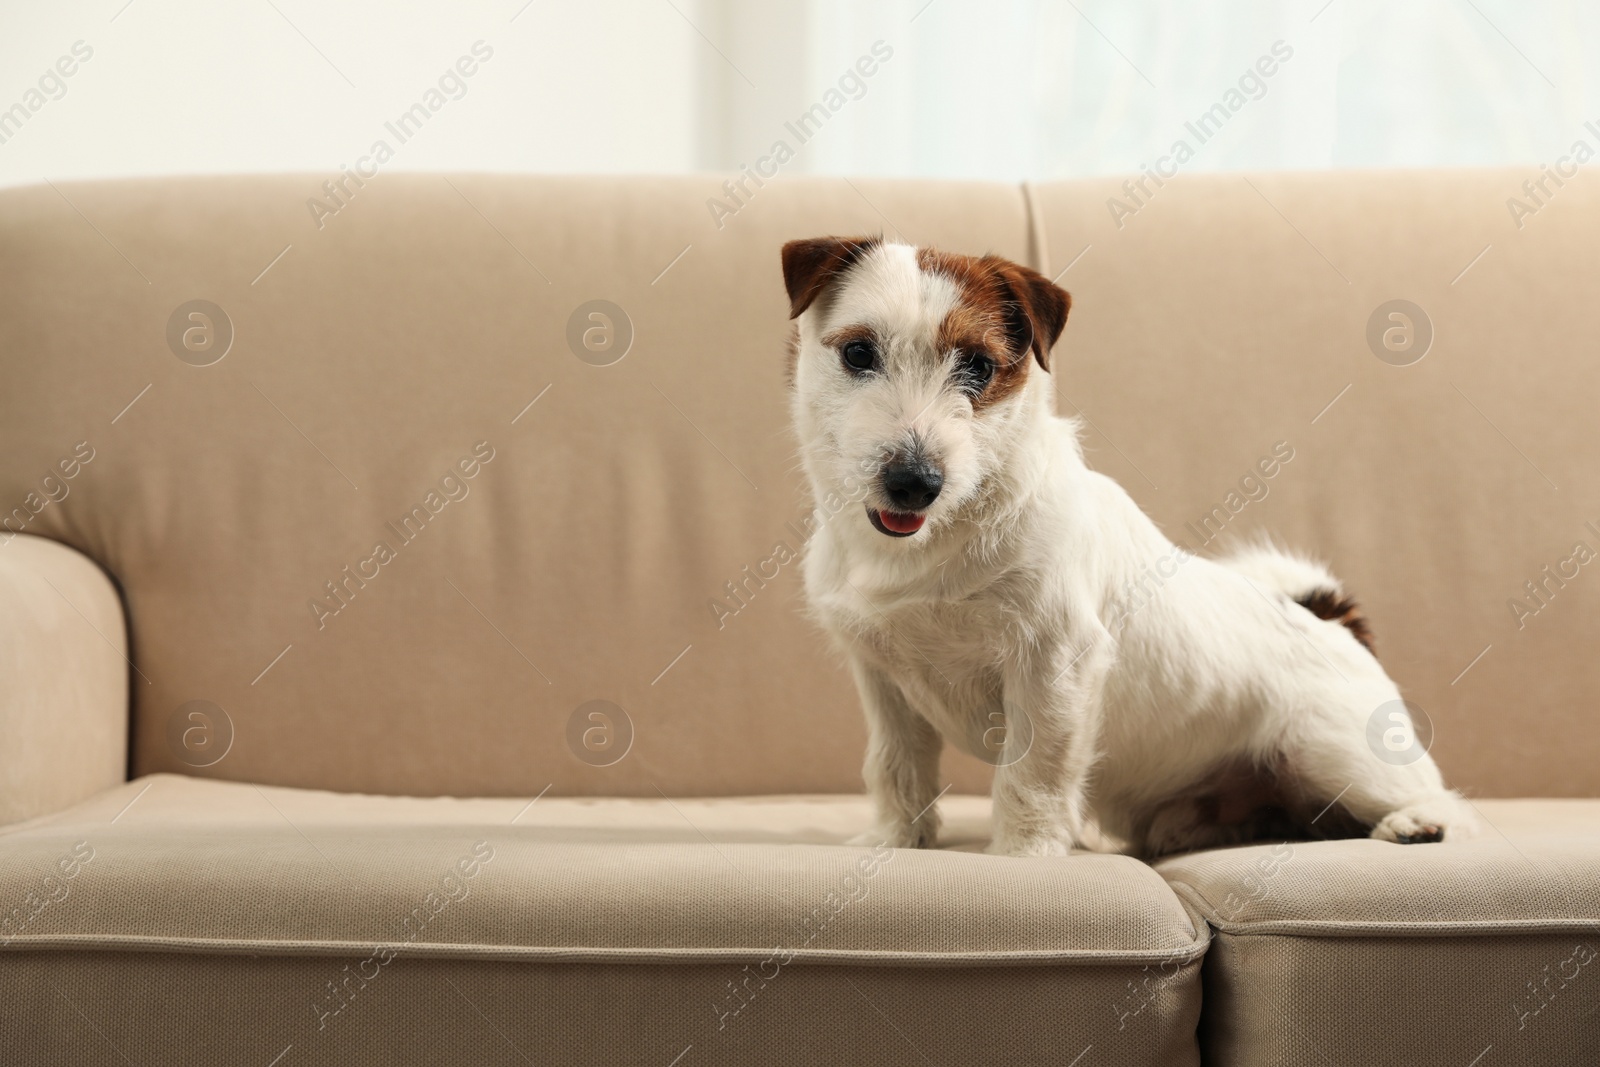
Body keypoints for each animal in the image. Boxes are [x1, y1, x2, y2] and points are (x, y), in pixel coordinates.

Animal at [777, 235, 1472, 857]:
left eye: (976, 365)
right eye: (859, 353)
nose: (914, 482)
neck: (939, 540)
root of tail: (1327, 617)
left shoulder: (1053, 667)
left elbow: (1031, 778)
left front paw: (1023, 857)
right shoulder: (885, 686)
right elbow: (896, 769)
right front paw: (895, 842)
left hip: (1331, 752)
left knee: (1440, 803)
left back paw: (1414, 823)